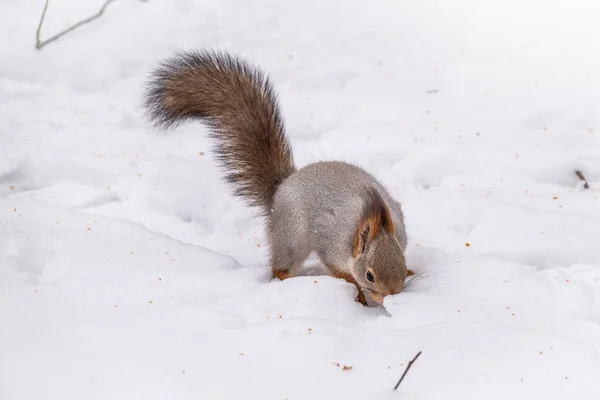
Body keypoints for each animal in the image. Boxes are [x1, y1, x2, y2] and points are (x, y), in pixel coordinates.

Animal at [142, 50, 412, 306]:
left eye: (402, 262)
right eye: (369, 275)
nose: (391, 296)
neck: (372, 221)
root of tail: (281, 187)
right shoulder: (329, 241)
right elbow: (337, 269)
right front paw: (356, 289)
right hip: (291, 236)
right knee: (281, 266)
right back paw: (286, 278)